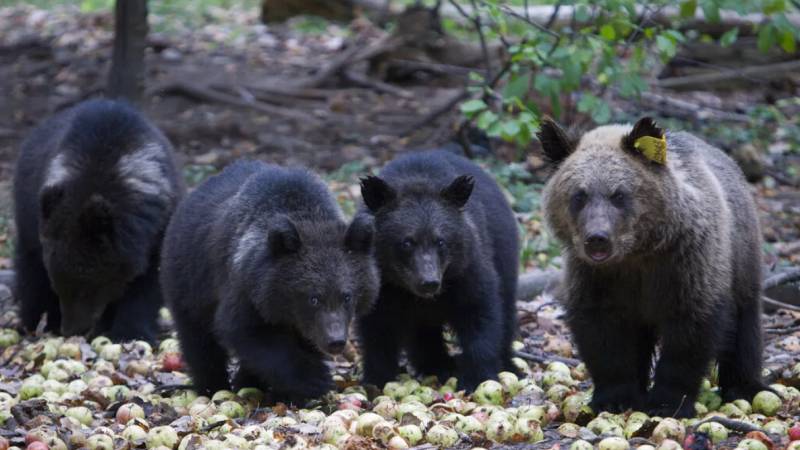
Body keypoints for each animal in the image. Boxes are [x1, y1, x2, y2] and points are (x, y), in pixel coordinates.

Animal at [13, 99, 183, 342]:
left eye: (88, 285)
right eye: (58, 285)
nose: (71, 330)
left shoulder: (157, 229)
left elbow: (147, 283)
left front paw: (131, 332)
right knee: (30, 267)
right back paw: (34, 321)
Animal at [160, 160, 379, 403]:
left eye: (347, 296)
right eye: (313, 298)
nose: (336, 341)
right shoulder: (245, 287)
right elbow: (245, 331)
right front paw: (314, 378)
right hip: (189, 281)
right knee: (198, 340)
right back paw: (211, 385)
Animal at [357, 150, 520, 392]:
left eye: (441, 241)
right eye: (406, 242)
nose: (429, 282)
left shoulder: (467, 269)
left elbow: (480, 313)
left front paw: (477, 378)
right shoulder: (382, 284)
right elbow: (377, 327)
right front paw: (376, 378)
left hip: (504, 253)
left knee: (506, 308)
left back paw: (508, 363)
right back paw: (436, 365)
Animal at [538, 116, 767, 417]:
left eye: (619, 195)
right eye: (579, 195)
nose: (597, 238)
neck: (637, 254)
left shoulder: (687, 265)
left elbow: (690, 332)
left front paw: (668, 402)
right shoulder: (597, 278)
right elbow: (603, 334)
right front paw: (615, 397)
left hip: (742, 258)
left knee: (745, 324)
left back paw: (745, 386)